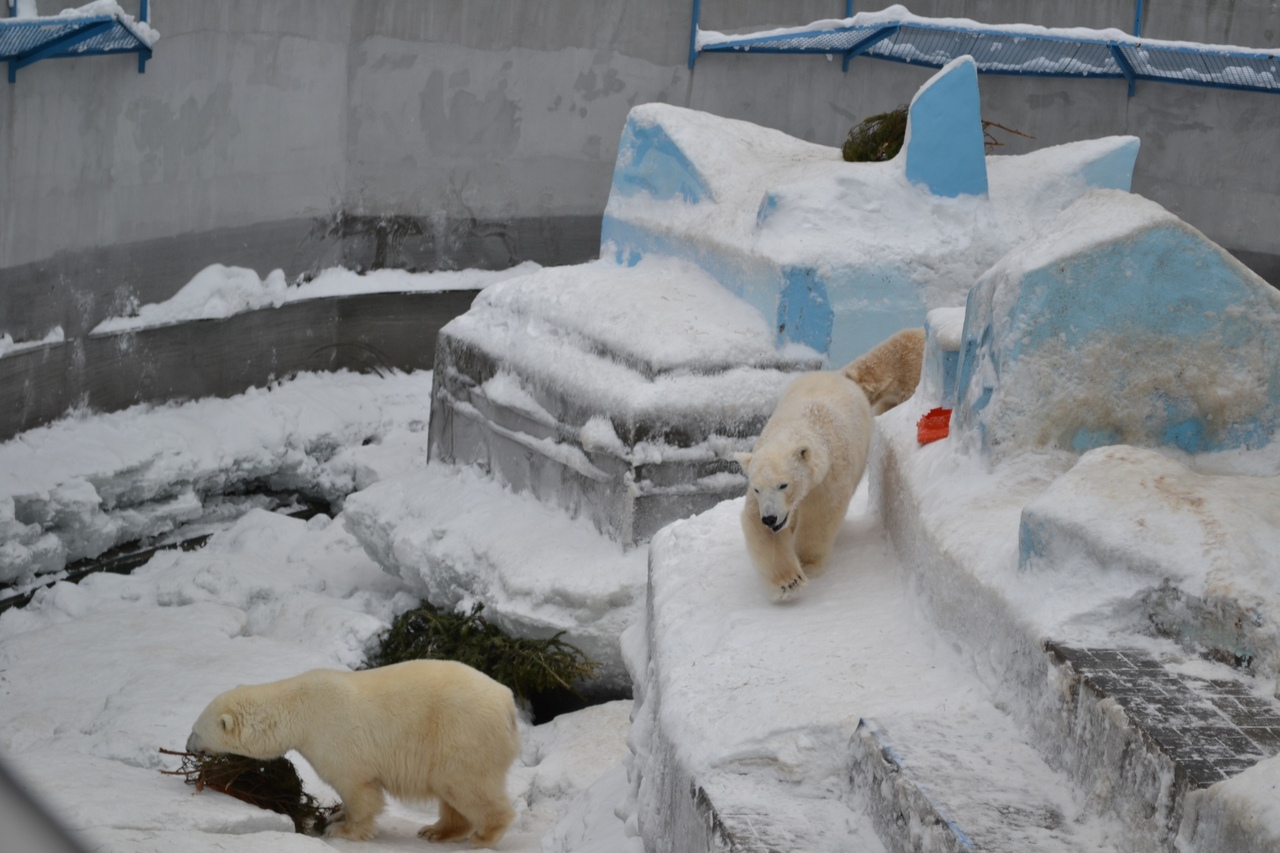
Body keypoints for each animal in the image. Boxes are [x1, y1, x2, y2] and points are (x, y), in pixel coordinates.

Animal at [181, 655, 519, 845]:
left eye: (195, 730)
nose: (188, 746)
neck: (299, 707)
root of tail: (508, 705)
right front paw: (338, 815)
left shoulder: (333, 736)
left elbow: (358, 789)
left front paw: (343, 829)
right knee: (452, 794)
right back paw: (436, 832)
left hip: (462, 735)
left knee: (467, 787)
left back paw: (483, 835)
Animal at [737, 371, 875, 596]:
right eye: (757, 489)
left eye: (783, 485)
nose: (770, 518)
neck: (798, 426)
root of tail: (833, 374)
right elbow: (758, 523)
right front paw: (789, 581)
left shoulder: (829, 477)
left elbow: (821, 514)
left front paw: (806, 563)